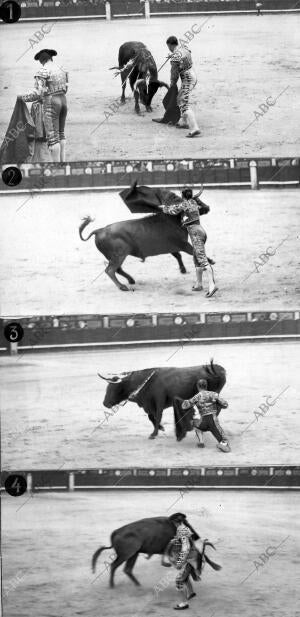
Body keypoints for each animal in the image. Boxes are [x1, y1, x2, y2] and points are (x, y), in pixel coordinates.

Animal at [91, 516, 220, 588]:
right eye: (198, 559)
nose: (199, 574)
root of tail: (116, 532)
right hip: (126, 555)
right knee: (114, 566)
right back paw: (112, 585)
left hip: (133, 554)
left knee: (127, 569)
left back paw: (138, 585)